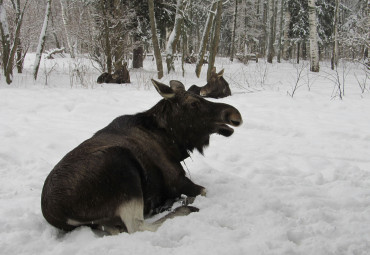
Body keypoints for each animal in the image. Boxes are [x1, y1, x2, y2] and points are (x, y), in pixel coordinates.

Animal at [41, 78, 243, 234]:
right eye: (193, 103)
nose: (234, 114)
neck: (172, 140)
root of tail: (58, 214)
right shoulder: (177, 180)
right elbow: (204, 191)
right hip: (123, 169)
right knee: (137, 227)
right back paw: (184, 207)